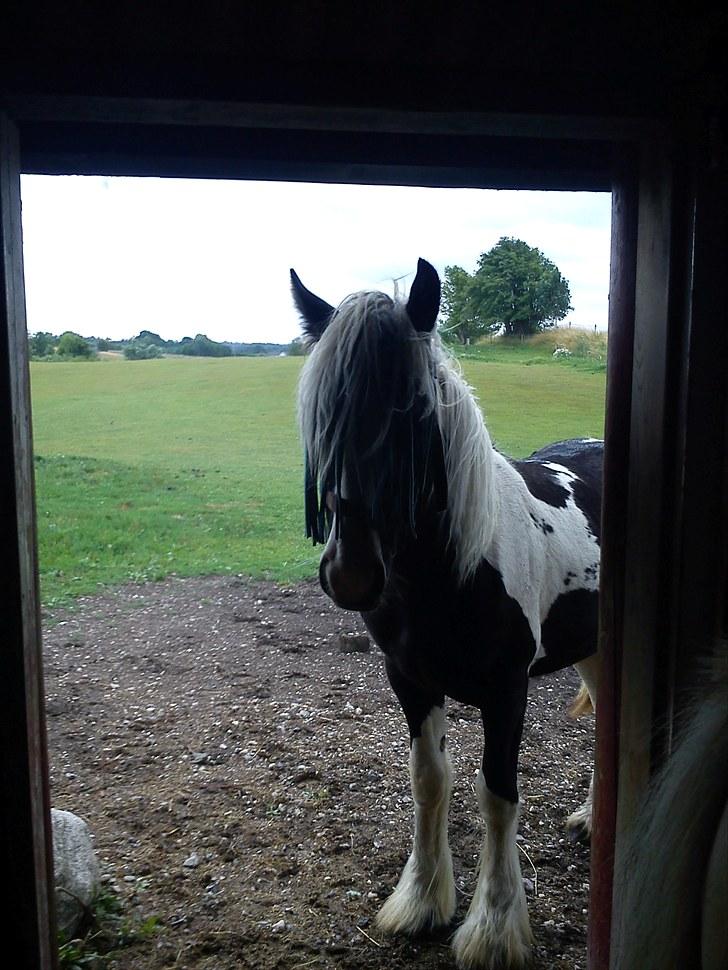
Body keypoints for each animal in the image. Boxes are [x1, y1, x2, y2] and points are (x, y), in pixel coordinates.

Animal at [290, 260, 604, 968]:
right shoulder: (409, 680)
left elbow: (497, 792)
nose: (351, 573)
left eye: (412, 408)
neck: (450, 571)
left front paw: (494, 927)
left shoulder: (507, 690)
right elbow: (429, 780)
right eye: (320, 414)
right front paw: (421, 902)